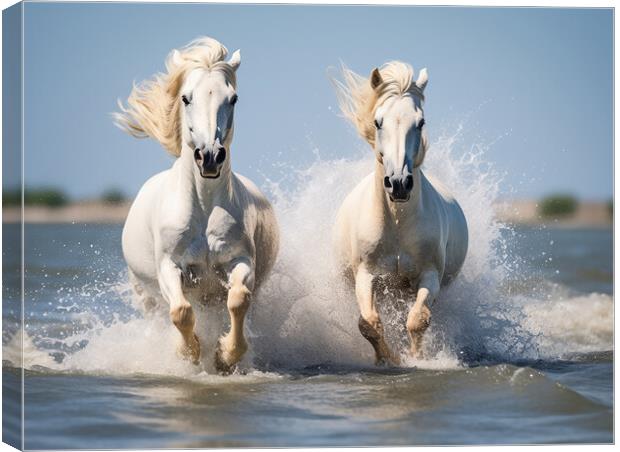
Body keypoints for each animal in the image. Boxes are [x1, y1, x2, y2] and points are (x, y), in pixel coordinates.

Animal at [115, 38, 278, 370]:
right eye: (186, 98)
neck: (203, 206)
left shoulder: (240, 261)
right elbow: (180, 312)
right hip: (145, 297)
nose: (210, 157)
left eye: (234, 98)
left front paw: (224, 354)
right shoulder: (170, 266)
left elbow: (238, 300)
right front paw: (188, 352)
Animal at [332, 61, 468, 364]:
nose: (398, 183)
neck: (396, 221)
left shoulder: (428, 275)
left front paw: (416, 358)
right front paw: (387, 360)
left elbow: (418, 319)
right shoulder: (367, 275)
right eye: (378, 122)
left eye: (420, 122)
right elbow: (369, 324)